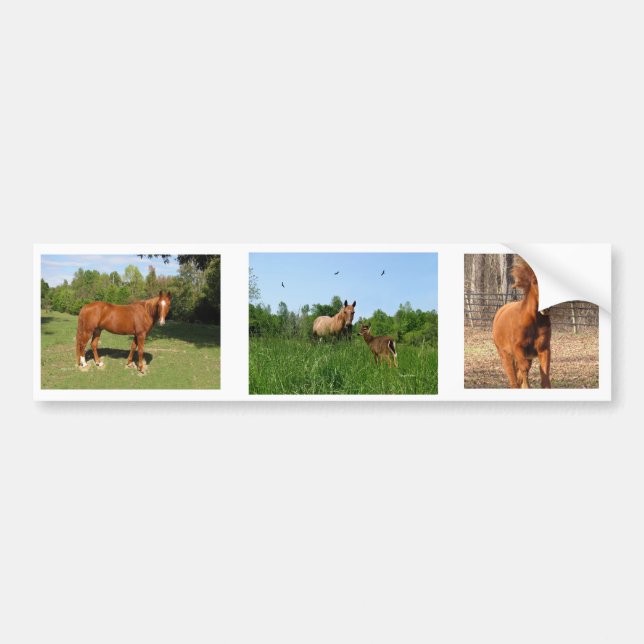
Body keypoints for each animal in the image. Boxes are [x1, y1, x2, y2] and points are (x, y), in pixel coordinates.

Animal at [492, 258, 551, 388]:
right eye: (534, 282)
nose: (547, 308)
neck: (533, 321)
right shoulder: (518, 348)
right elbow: (524, 368)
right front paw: (526, 386)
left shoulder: (544, 348)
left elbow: (544, 372)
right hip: (505, 355)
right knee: (513, 379)